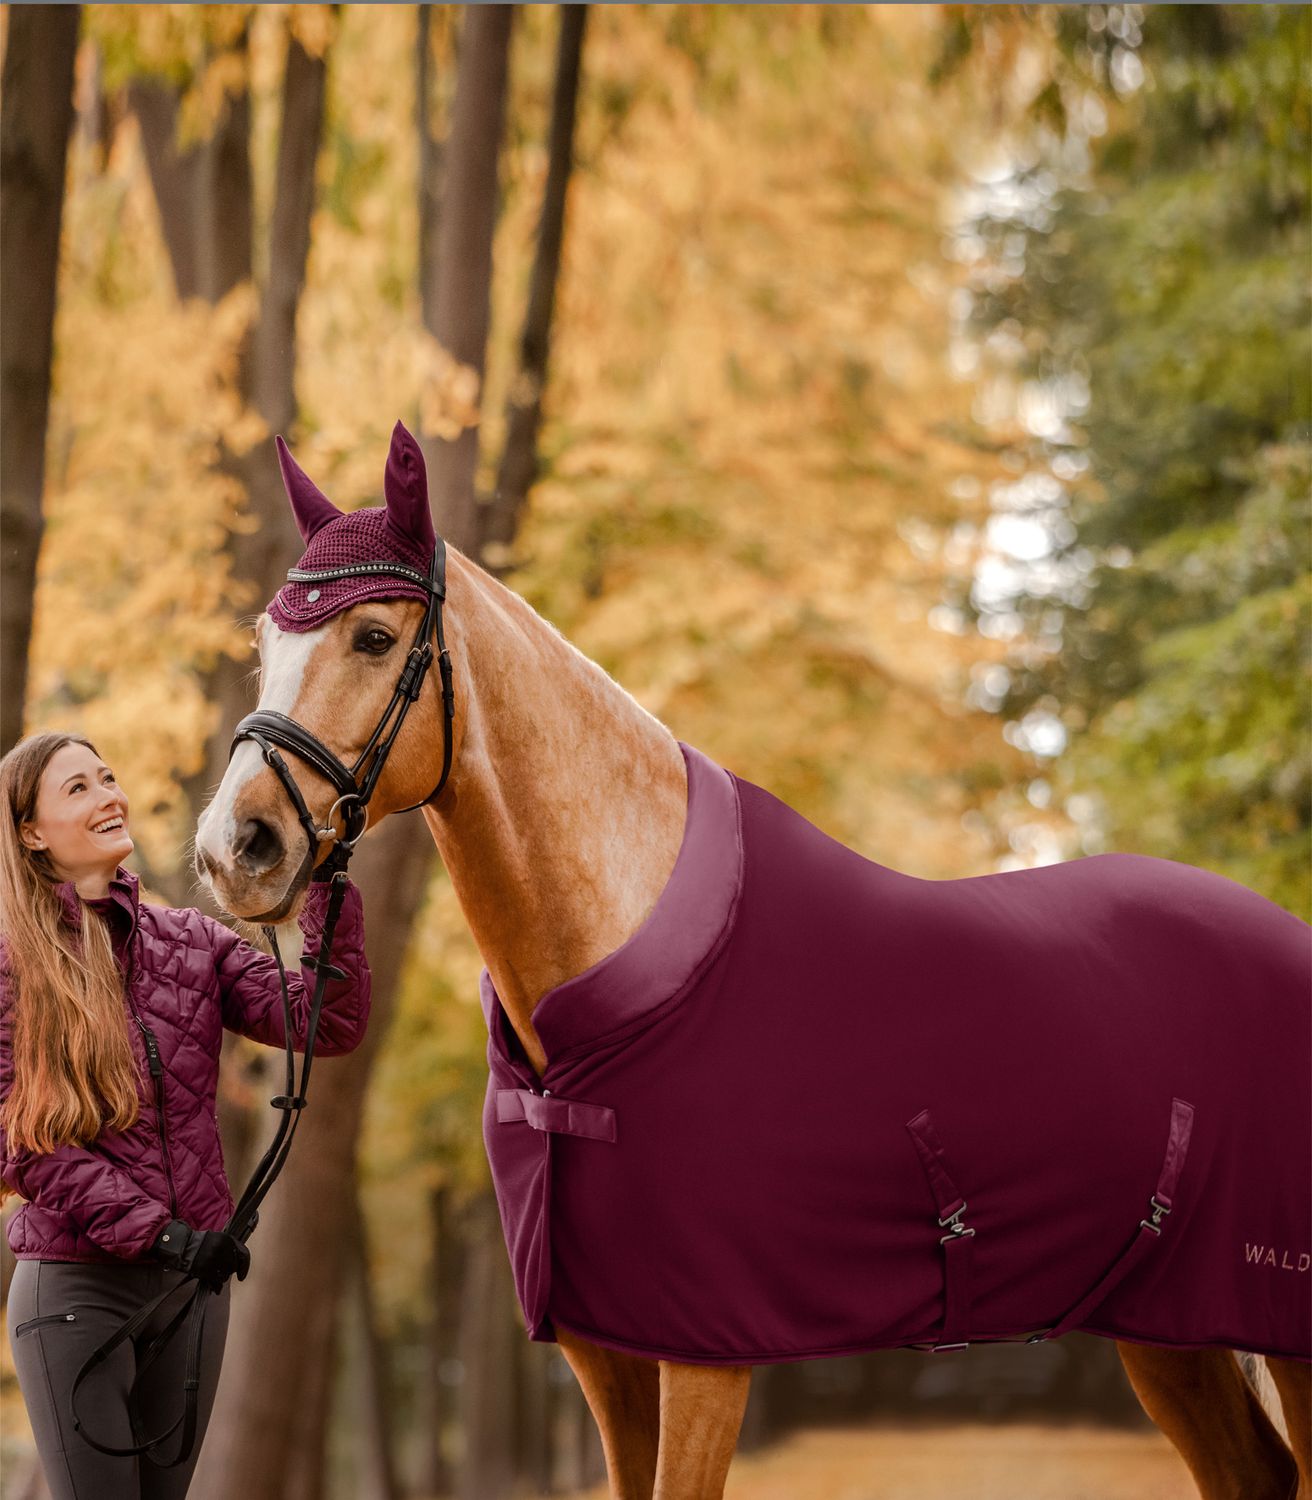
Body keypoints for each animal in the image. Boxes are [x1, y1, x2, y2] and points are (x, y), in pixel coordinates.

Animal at [197, 426, 1312, 1500]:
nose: (233, 848)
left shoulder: (704, 1359)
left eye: (374, 637)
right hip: (1167, 1327)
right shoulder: (607, 1358)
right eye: (265, 639)